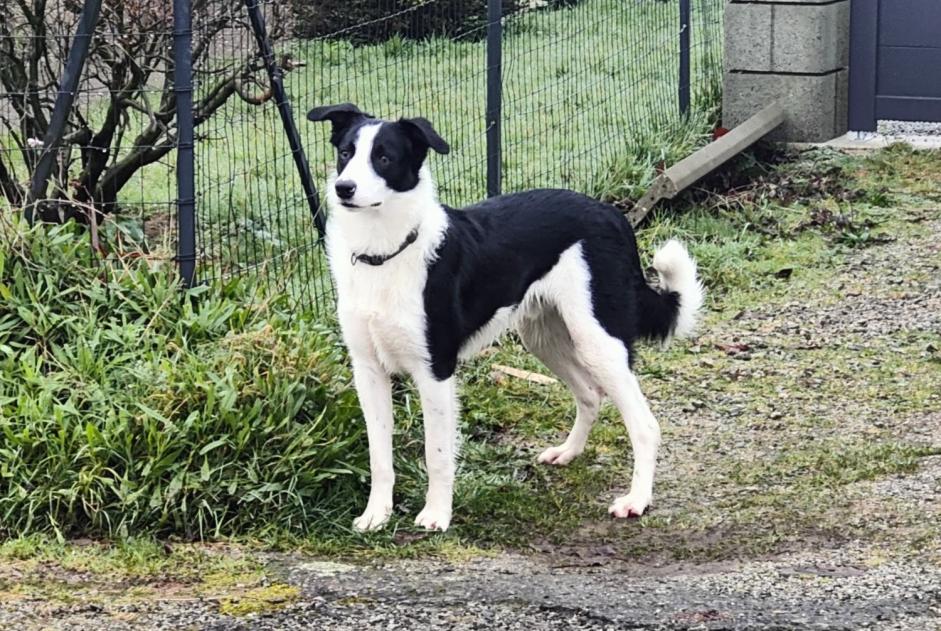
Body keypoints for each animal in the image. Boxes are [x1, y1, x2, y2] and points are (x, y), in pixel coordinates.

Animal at [304, 105, 700, 532]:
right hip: (543, 336)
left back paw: (637, 500)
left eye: (384, 158)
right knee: (590, 394)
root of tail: (611, 213)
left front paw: (436, 515)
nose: (344, 188)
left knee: (645, 425)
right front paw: (377, 514)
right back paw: (568, 452)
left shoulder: (435, 371)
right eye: (346, 153)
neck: (386, 252)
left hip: (598, 340)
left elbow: (437, 454)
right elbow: (379, 456)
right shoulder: (368, 371)